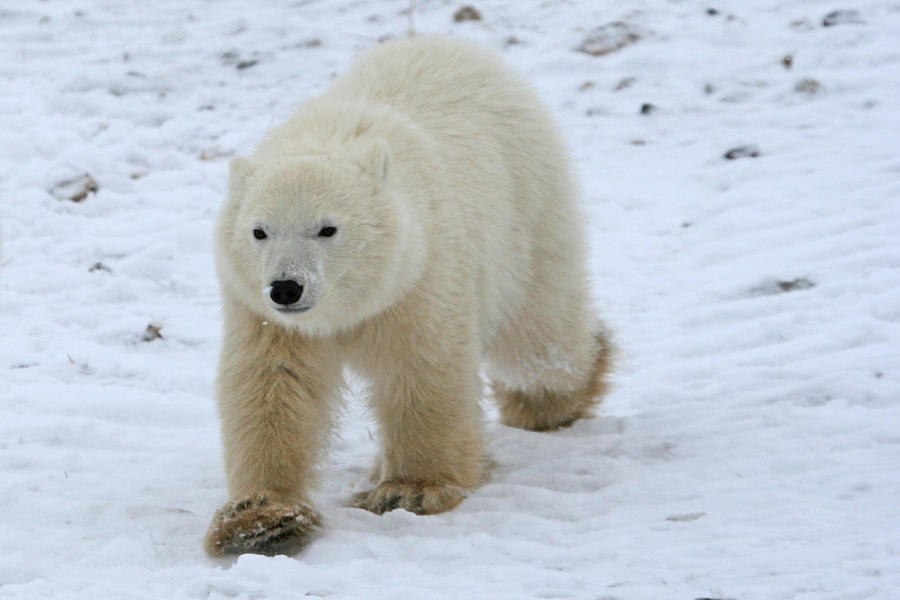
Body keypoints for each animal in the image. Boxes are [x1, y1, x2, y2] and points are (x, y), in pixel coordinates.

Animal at [204, 35, 612, 556]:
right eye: (259, 231)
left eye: (327, 228)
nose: (286, 287)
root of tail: (450, 43)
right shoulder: (264, 315)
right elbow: (272, 383)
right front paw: (260, 519)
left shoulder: (419, 277)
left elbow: (421, 368)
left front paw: (410, 490)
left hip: (528, 210)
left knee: (537, 329)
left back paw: (550, 400)